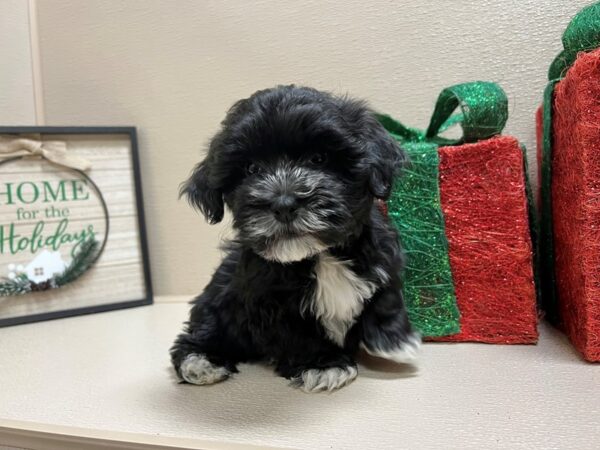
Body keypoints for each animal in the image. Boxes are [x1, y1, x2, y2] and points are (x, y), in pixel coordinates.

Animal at [171, 86, 420, 392]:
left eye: (319, 159)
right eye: (252, 169)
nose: (284, 204)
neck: (320, 254)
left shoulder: (383, 257)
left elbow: (387, 297)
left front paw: (395, 341)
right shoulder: (270, 303)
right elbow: (297, 334)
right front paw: (323, 365)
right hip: (215, 303)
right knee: (199, 333)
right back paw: (200, 361)